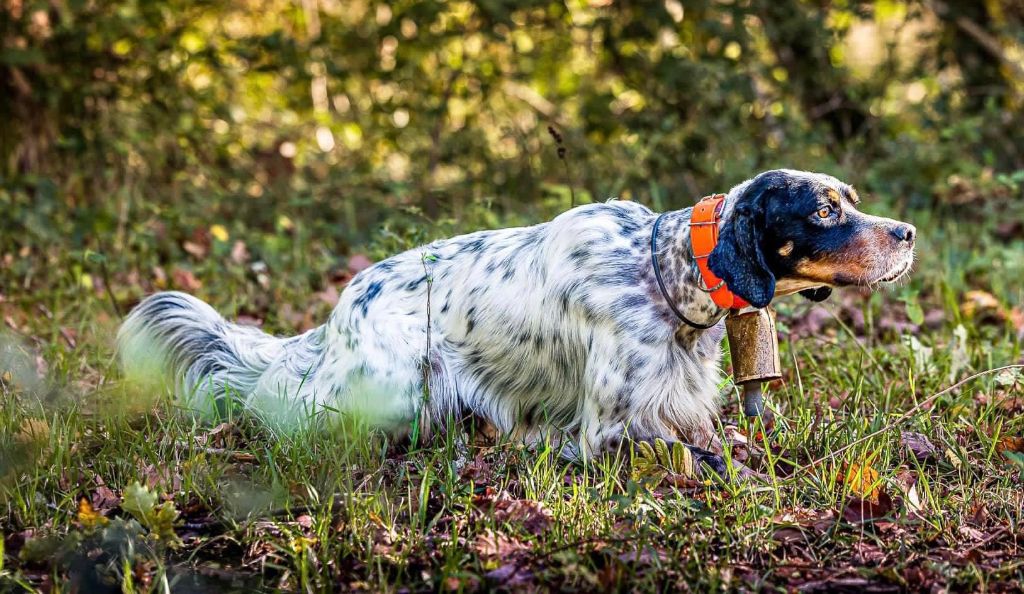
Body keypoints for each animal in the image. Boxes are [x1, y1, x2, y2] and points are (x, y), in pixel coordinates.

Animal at [116, 166, 917, 464]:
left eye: (849, 198)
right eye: (825, 210)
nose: (906, 233)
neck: (661, 270)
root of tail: (337, 313)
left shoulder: (680, 402)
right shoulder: (608, 429)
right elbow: (699, 456)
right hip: (391, 389)